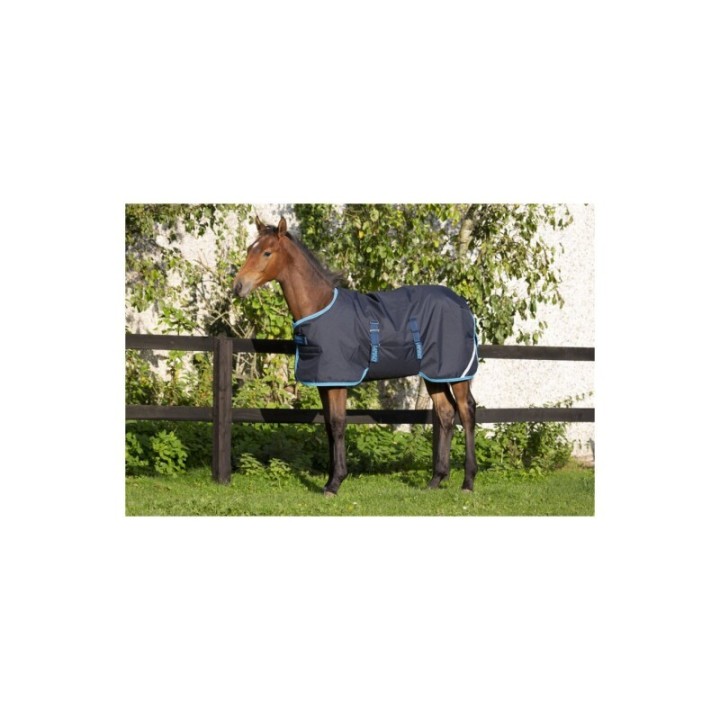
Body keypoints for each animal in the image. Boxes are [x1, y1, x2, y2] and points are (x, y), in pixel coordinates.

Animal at [233, 216, 478, 497]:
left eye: (267, 252)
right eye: (249, 249)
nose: (238, 286)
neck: (319, 306)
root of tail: (462, 304)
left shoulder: (339, 382)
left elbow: (338, 424)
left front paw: (336, 482)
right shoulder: (324, 383)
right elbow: (328, 426)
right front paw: (329, 480)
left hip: (457, 373)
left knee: (466, 412)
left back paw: (468, 481)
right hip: (434, 374)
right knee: (446, 413)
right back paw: (436, 479)